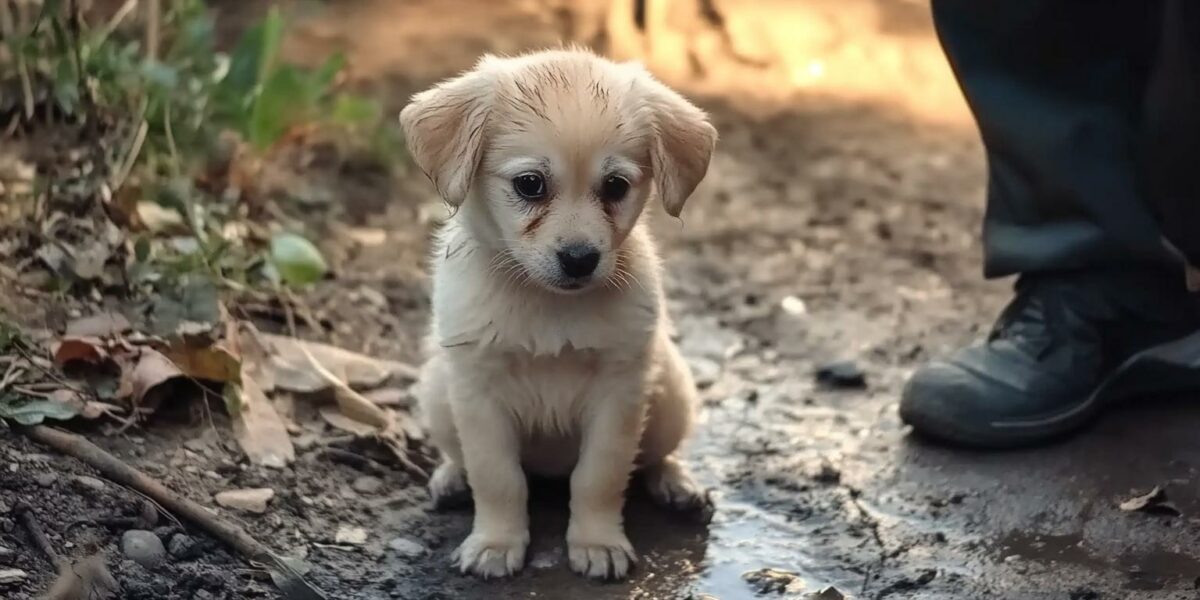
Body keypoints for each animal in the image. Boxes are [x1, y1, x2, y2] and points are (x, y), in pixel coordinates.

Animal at [398, 48, 715, 580]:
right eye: (530, 185)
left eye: (615, 186)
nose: (580, 258)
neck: (546, 303)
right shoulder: (478, 393)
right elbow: (498, 478)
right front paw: (496, 543)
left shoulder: (619, 393)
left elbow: (599, 477)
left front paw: (597, 542)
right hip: (439, 391)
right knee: (463, 458)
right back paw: (451, 478)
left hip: (671, 390)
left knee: (654, 456)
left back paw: (676, 483)